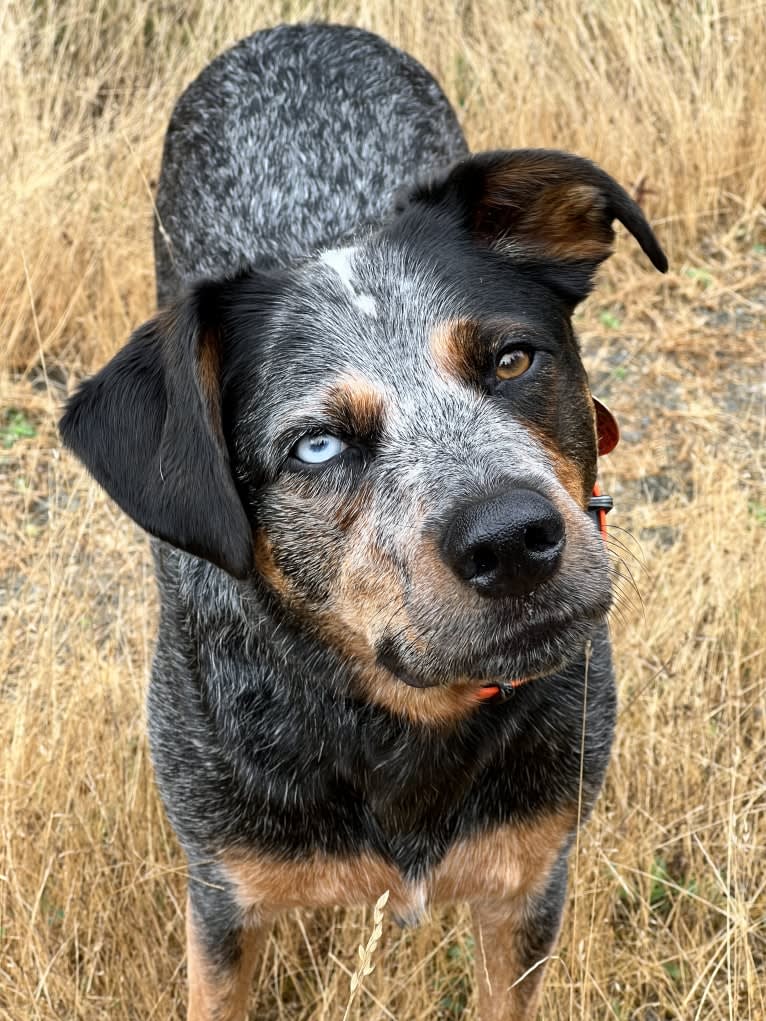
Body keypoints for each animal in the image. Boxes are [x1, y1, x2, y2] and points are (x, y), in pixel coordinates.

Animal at [61, 21, 665, 1021]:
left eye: (512, 358)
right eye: (315, 446)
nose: (511, 539)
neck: (397, 717)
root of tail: (301, 27)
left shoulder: (530, 879)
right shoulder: (225, 897)